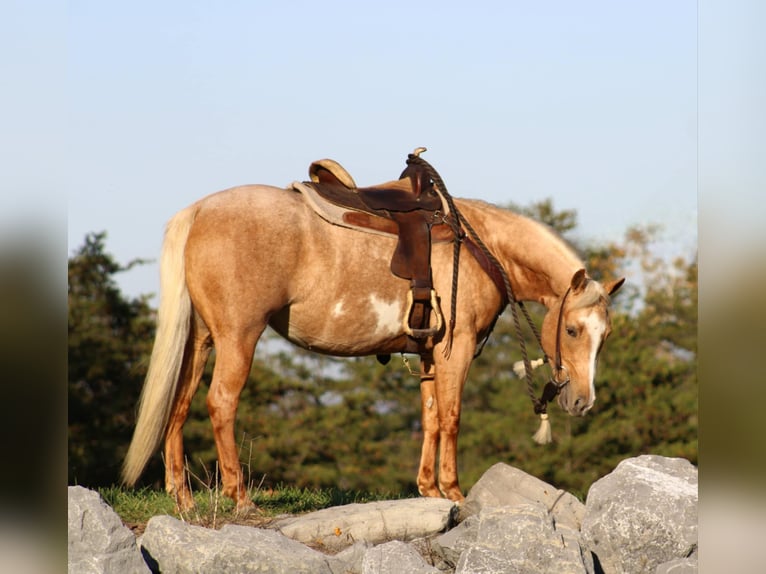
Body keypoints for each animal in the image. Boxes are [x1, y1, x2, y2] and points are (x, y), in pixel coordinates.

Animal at [120, 162, 624, 512]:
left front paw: (428, 489)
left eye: (606, 336)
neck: (484, 246)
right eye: (573, 329)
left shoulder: (429, 355)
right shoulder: (455, 351)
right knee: (221, 404)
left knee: (180, 403)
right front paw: (454, 492)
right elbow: (452, 417)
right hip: (237, 337)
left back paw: (183, 499)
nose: (583, 401)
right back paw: (240, 497)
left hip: (201, 339)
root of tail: (198, 211)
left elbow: (431, 416)